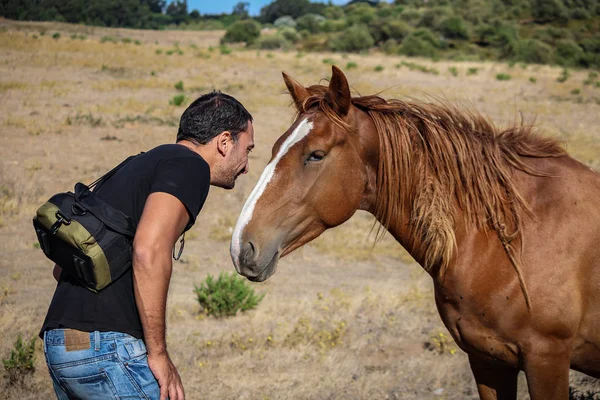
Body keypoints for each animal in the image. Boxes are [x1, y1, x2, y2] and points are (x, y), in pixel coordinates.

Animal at [230, 67, 600, 398]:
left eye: (316, 155)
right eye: (273, 147)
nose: (241, 248)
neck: (511, 238)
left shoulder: (546, 358)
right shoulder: (487, 360)